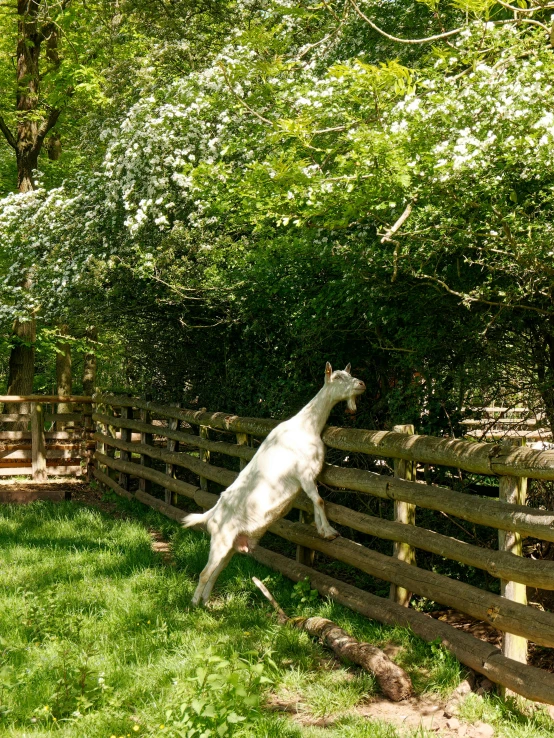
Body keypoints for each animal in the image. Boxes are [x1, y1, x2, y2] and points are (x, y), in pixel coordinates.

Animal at [182, 360, 362, 604]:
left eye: (349, 374)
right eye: (338, 377)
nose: (361, 384)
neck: (307, 426)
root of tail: (211, 514)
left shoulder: (311, 475)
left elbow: (315, 502)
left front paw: (320, 528)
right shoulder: (304, 473)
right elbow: (319, 500)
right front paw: (329, 532)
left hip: (230, 546)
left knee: (216, 572)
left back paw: (206, 603)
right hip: (220, 540)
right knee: (204, 572)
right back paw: (193, 604)